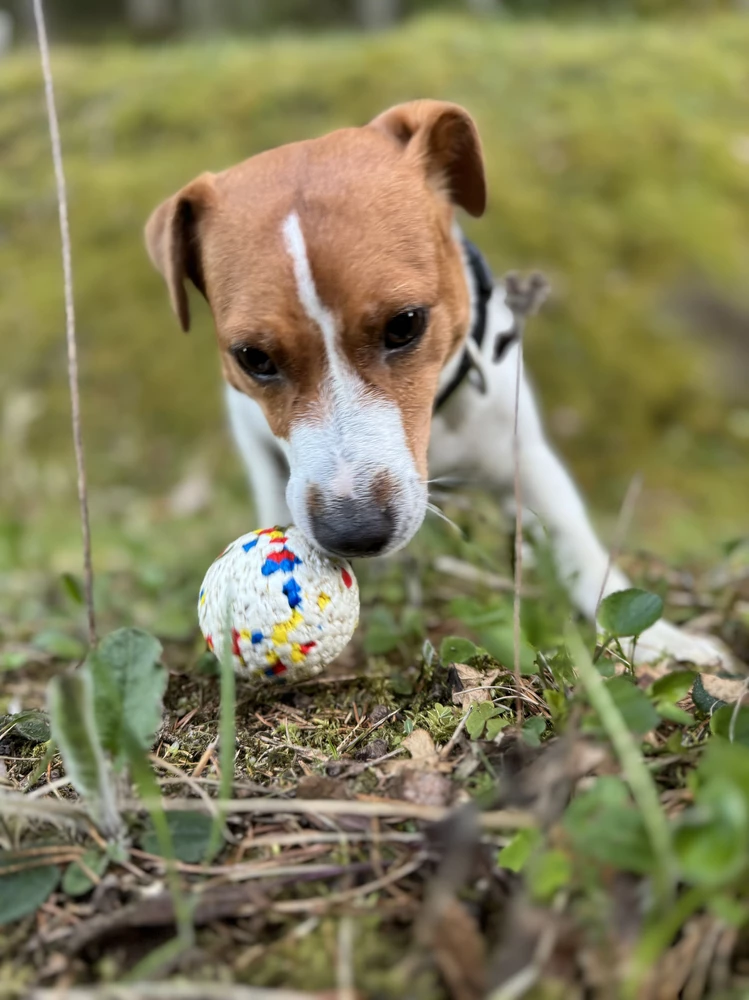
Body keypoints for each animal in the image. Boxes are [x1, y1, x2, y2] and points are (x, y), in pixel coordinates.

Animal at [145, 101, 732, 668]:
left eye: (405, 324)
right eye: (254, 357)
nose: (354, 531)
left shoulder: (525, 456)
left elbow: (577, 545)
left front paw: (662, 640)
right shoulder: (259, 448)